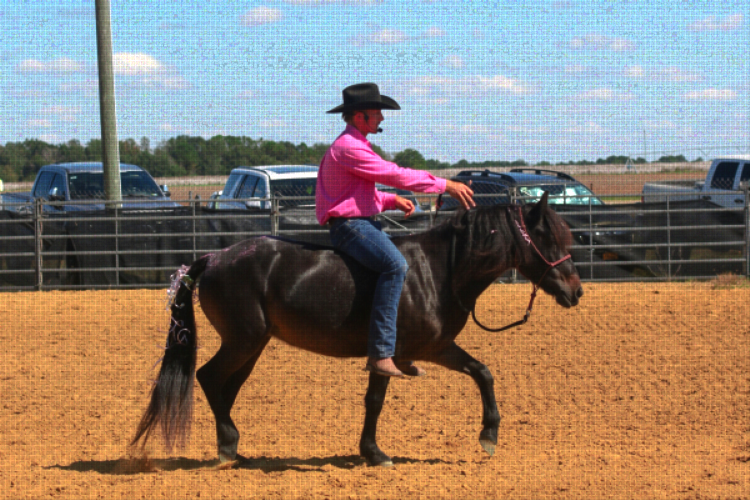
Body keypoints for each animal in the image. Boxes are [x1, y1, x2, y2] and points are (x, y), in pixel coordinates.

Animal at [131, 193, 583, 467]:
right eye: (548, 238)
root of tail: (216, 256)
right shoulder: (394, 353)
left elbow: (482, 372)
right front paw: (374, 452)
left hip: (252, 345)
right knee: (209, 377)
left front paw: (488, 433)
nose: (576, 291)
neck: (438, 271)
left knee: (225, 388)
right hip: (243, 341)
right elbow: (376, 401)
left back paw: (232, 446)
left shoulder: (434, 348)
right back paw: (228, 443)